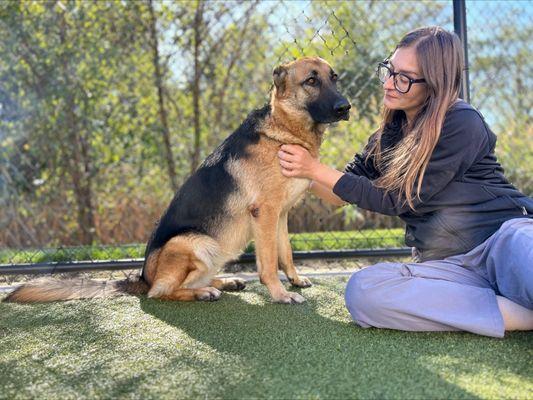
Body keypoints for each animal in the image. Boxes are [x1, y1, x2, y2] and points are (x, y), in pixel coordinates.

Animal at [6, 56, 352, 304]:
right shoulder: (265, 214)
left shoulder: (280, 216)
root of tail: (141, 278)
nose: (346, 107)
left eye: (334, 77)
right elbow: (268, 264)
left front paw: (294, 279)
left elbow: (286, 253)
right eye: (311, 80)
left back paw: (224, 282)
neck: (284, 129)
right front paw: (280, 294)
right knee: (161, 292)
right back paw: (203, 292)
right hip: (195, 242)